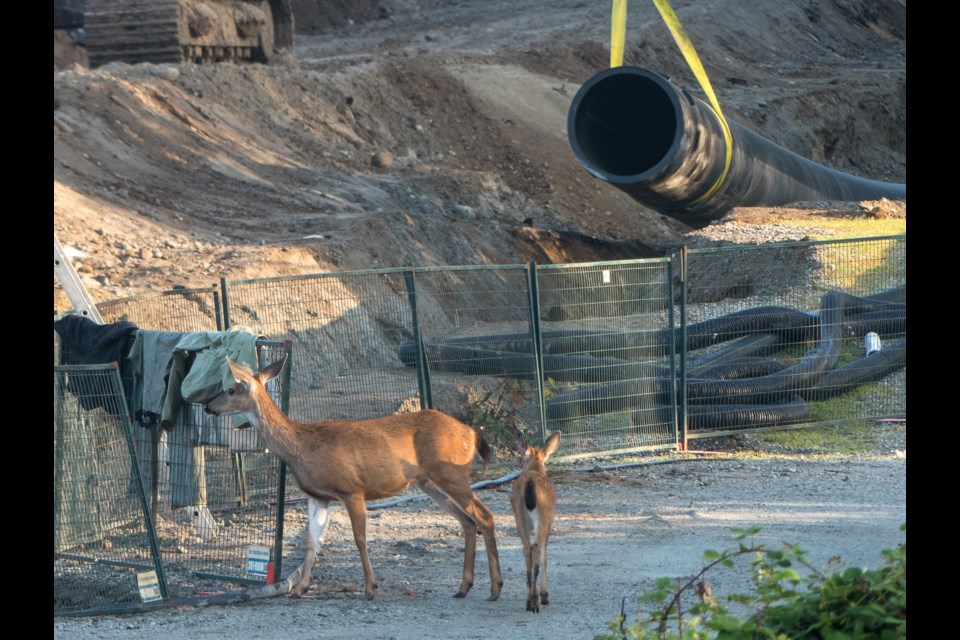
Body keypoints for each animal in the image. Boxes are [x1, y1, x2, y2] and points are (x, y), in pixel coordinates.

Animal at [202, 356, 502, 600]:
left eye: (230, 389)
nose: (207, 406)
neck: (301, 449)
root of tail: (471, 433)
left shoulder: (352, 489)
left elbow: (360, 538)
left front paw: (370, 588)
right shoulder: (318, 497)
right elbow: (311, 542)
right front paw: (300, 588)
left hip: (451, 473)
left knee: (484, 515)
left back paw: (495, 588)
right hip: (429, 482)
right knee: (467, 522)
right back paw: (464, 588)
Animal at [510, 428, 564, 612]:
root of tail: (530, 483)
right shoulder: (550, 522)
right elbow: (545, 557)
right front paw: (545, 595)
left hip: (519, 516)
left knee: (527, 550)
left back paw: (529, 601)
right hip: (543, 516)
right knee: (536, 549)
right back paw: (535, 600)